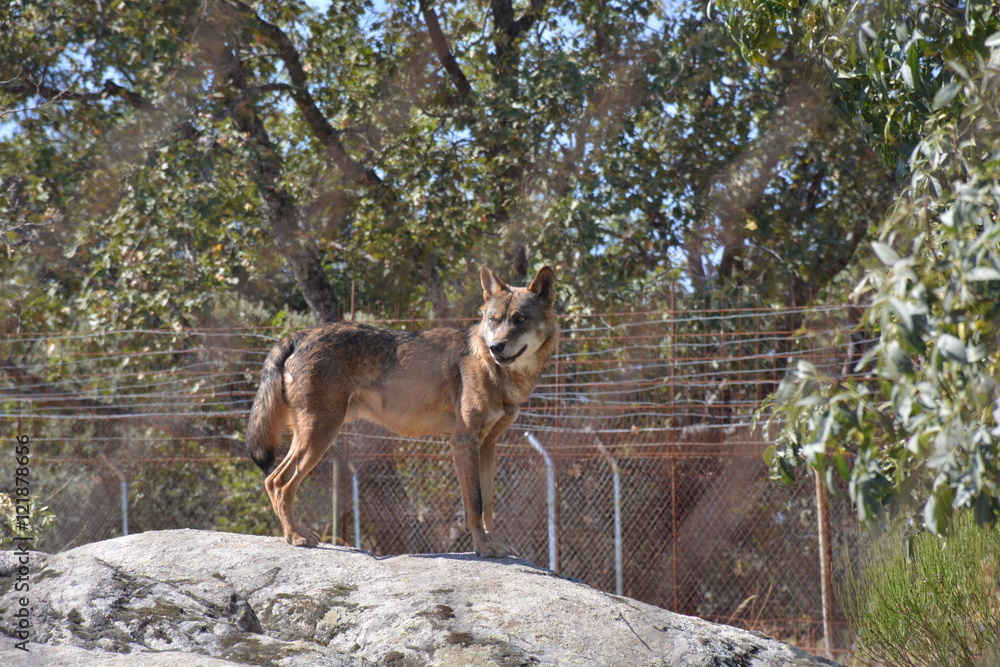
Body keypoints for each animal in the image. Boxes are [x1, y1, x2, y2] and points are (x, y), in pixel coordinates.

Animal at [246, 265, 558, 557]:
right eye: (493, 320)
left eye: (520, 319)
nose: (496, 347)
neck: (494, 370)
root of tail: (299, 335)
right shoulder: (463, 442)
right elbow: (475, 504)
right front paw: (483, 548)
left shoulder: (488, 445)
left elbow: (489, 504)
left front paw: (493, 544)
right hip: (320, 436)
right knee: (280, 483)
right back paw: (295, 536)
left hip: (314, 437)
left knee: (273, 481)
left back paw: (293, 533)